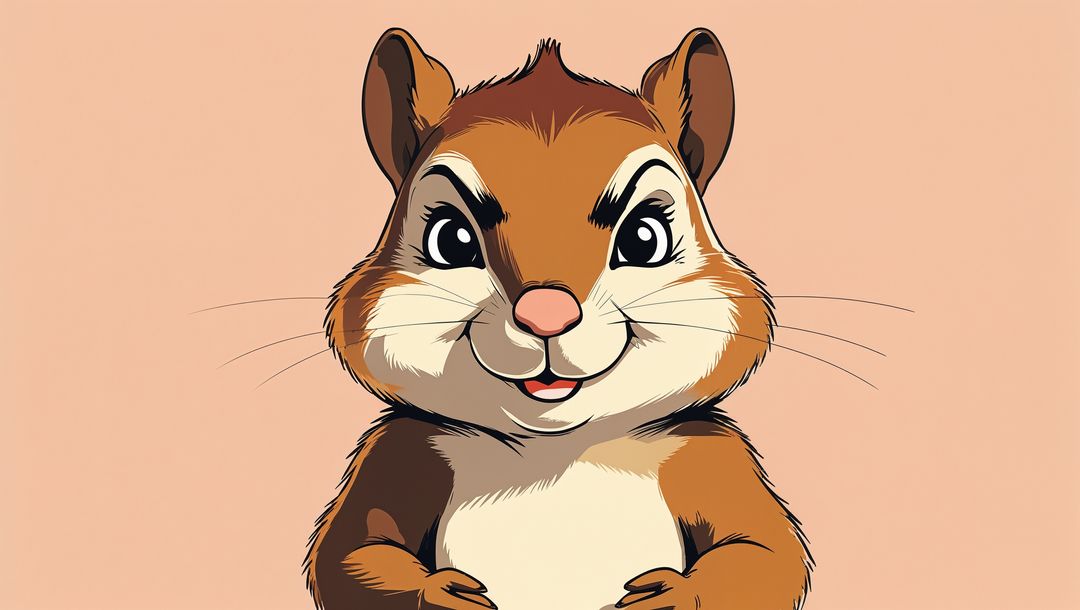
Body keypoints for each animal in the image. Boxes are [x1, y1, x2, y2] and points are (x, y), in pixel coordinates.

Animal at [304, 27, 813, 610]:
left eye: (645, 238)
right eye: (450, 240)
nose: (546, 315)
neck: (552, 449)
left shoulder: (706, 454)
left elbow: (763, 555)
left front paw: (668, 596)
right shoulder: (402, 451)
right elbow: (350, 555)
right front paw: (449, 595)